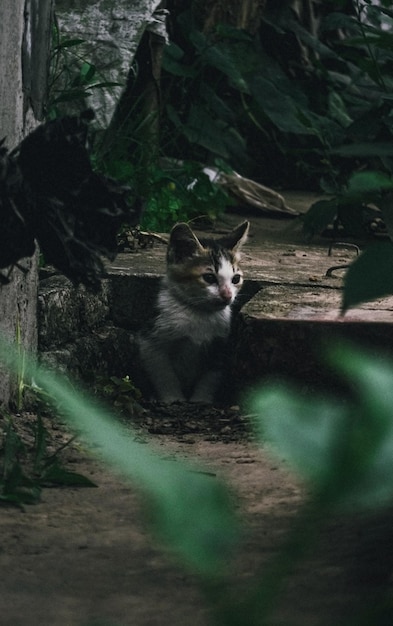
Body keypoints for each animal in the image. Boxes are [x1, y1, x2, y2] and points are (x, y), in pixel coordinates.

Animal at [138, 219, 248, 402]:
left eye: (236, 279)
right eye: (209, 278)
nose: (227, 295)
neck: (199, 313)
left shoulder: (221, 345)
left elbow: (211, 376)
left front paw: (201, 399)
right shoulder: (150, 340)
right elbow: (163, 373)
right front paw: (173, 398)